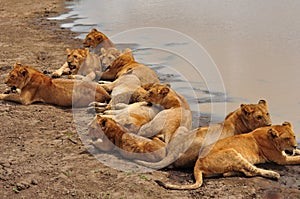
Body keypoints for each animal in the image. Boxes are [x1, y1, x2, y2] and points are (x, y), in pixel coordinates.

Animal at [136, 98, 272, 169]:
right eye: (259, 117)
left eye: (267, 113)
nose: (270, 124)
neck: (237, 119)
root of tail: (173, 151)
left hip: (182, 129)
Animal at [157, 121, 300, 190]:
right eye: (287, 139)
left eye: (294, 136)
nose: (294, 146)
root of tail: (197, 164)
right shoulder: (281, 159)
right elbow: (297, 158)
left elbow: (298, 152)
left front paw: (297, 150)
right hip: (233, 153)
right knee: (252, 170)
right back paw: (273, 174)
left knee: (239, 172)